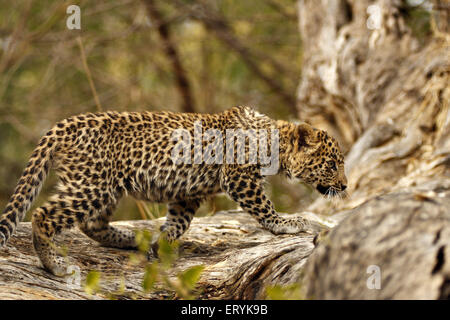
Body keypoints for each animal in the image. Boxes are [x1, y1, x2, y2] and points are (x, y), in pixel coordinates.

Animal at [0, 105, 348, 276]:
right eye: (332, 164)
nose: (345, 186)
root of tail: (62, 126)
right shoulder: (239, 177)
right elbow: (264, 208)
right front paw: (287, 223)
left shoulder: (187, 195)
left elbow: (179, 223)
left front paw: (161, 243)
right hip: (93, 185)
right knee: (44, 215)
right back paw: (54, 265)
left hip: (105, 186)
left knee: (91, 223)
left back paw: (131, 239)